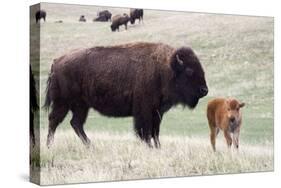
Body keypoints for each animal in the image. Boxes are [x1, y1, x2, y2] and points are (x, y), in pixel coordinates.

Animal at [44, 41, 207, 148]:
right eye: (189, 71)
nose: (204, 90)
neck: (165, 68)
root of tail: (57, 61)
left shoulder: (157, 112)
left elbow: (155, 132)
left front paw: (158, 147)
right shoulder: (145, 110)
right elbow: (145, 131)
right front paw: (149, 147)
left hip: (81, 106)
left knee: (75, 123)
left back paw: (90, 145)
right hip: (63, 103)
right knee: (54, 120)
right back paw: (49, 146)